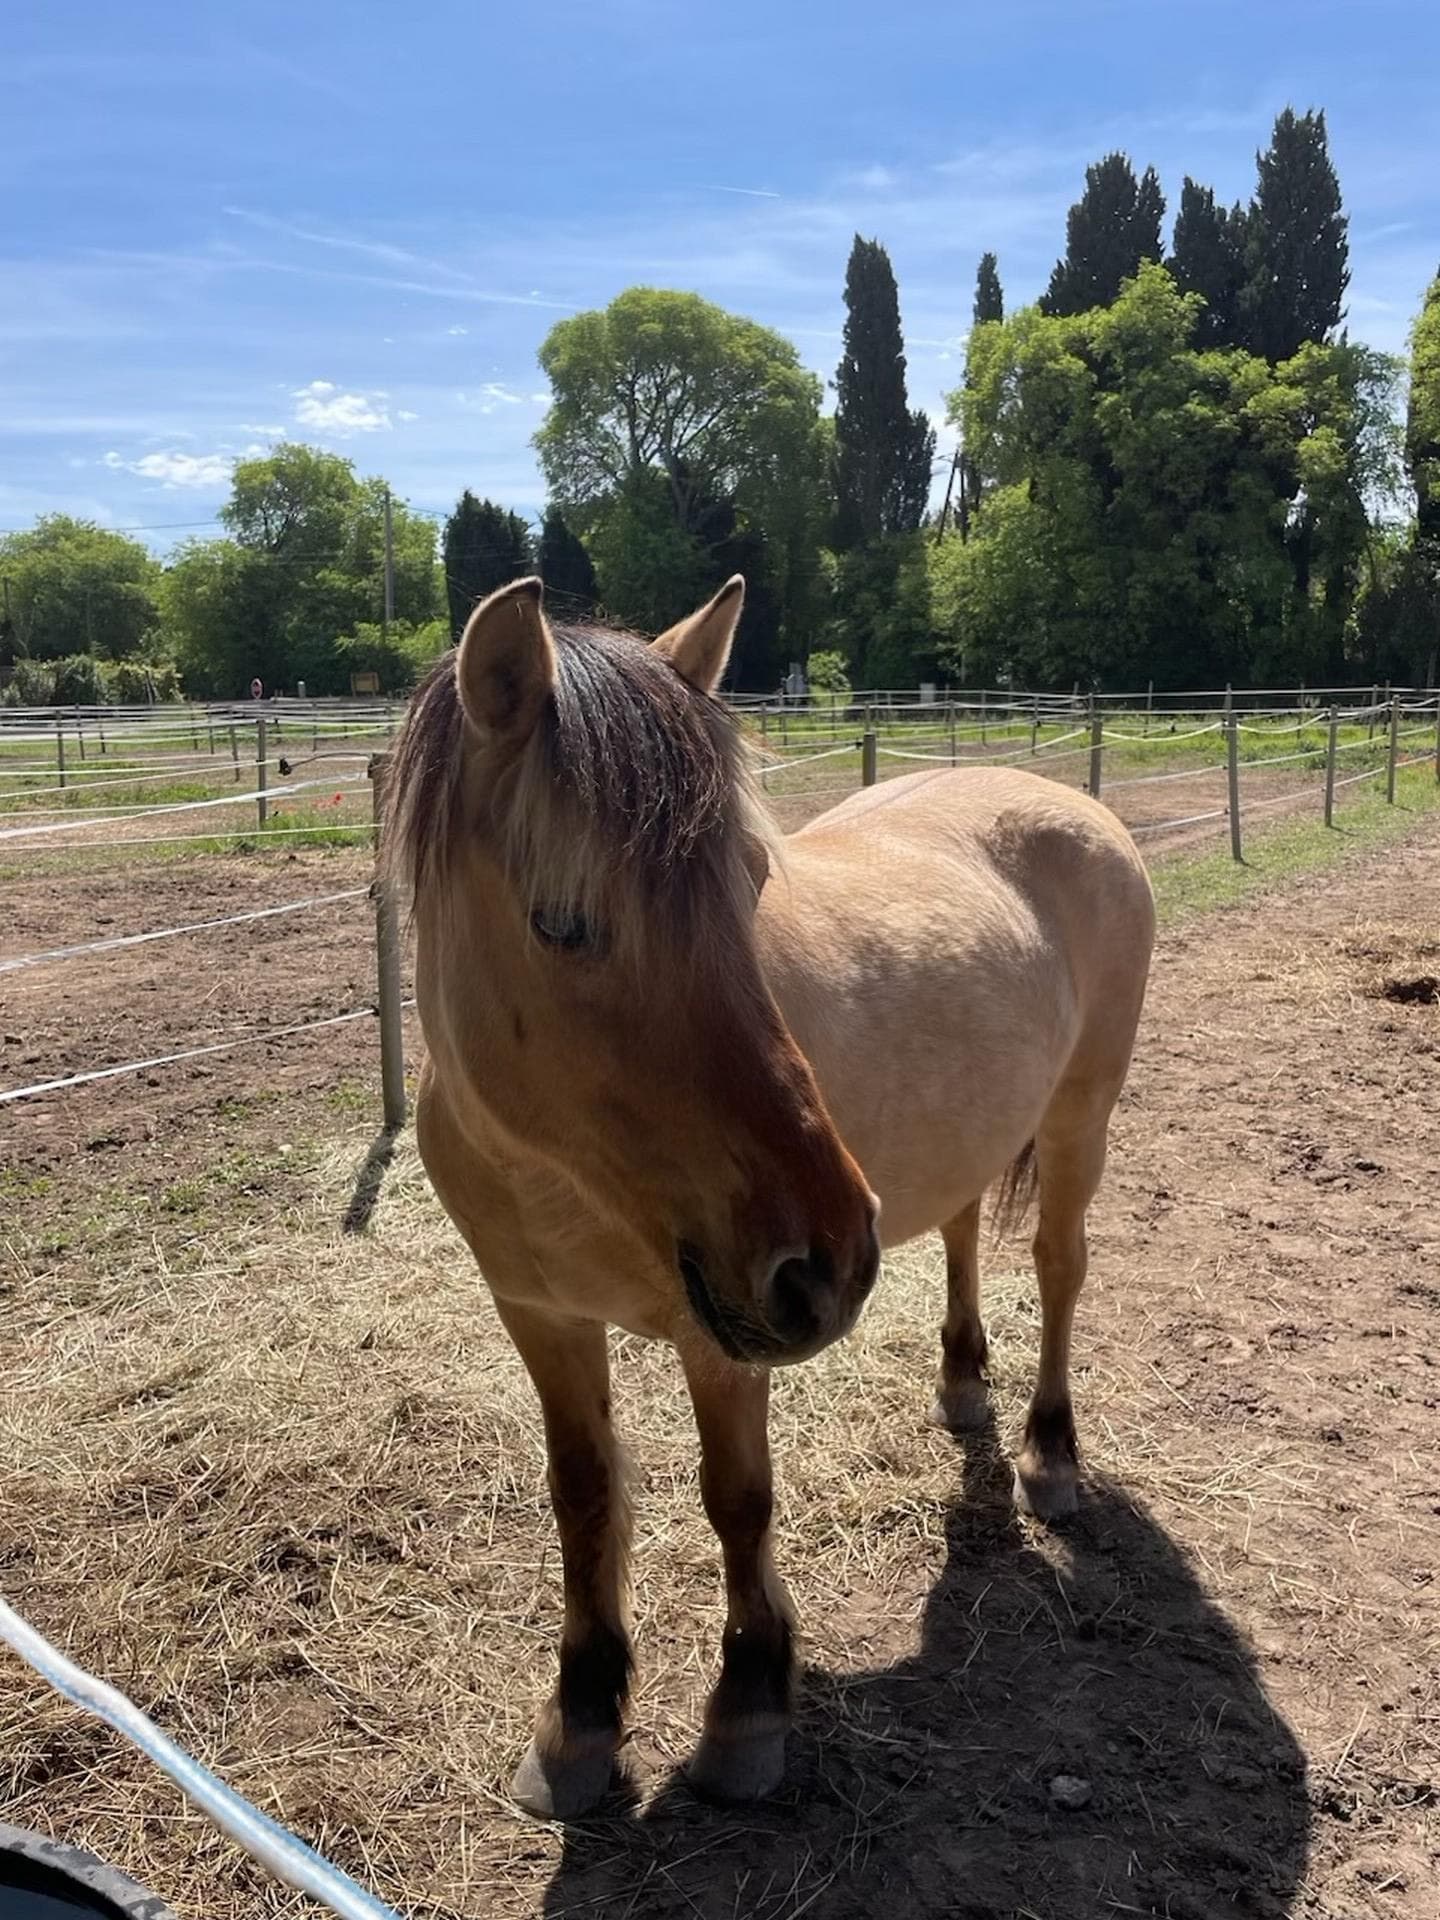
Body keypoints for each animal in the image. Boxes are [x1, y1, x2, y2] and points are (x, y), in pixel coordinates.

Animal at [386, 575, 1155, 1820]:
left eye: (749, 886)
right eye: (562, 918)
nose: (828, 1260)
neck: (566, 1180)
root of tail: (1056, 796)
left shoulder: (727, 1330)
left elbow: (736, 1498)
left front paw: (747, 1706)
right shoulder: (541, 1318)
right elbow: (583, 1494)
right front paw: (582, 1713)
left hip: (1082, 1116)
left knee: (1059, 1269)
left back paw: (1051, 1455)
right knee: (958, 1235)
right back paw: (962, 1386)